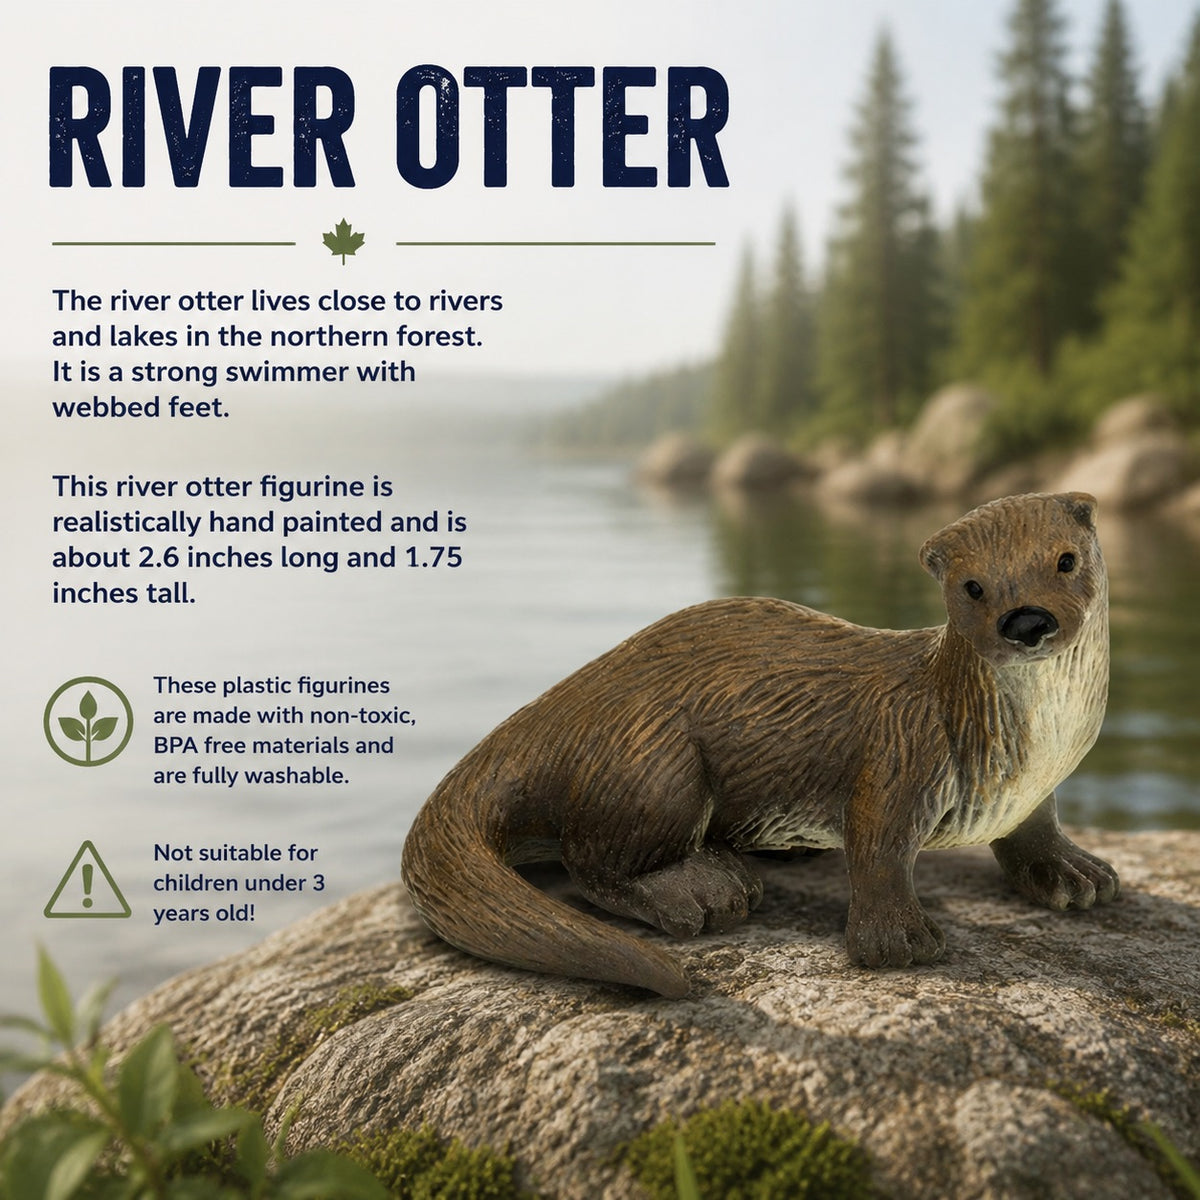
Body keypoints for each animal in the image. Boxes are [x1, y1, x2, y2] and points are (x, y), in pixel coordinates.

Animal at [402, 492, 1118, 998]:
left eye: (1065, 559)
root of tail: (565, 705)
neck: (1033, 742)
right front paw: (899, 941)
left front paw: (1075, 872)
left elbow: (1036, 829)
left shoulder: (1034, 788)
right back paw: (701, 890)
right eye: (972, 587)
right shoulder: (900, 756)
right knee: (593, 864)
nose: (1026, 620)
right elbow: (880, 850)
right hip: (653, 766)